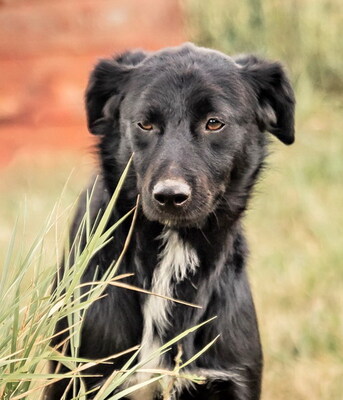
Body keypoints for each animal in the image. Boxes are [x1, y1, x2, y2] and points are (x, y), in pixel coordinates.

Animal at [47, 43, 296, 400]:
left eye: (214, 123)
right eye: (144, 124)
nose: (169, 196)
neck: (171, 253)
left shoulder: (234, 378)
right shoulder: (80, 377)